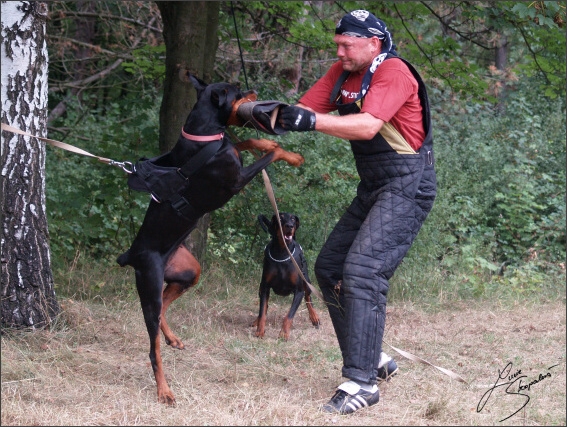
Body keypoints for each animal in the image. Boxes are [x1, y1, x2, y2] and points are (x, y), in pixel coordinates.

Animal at [116, 75, 306, 406]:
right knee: (153, 348)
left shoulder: (230, 149)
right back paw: (165, 390)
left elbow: (249, 143)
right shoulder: (236, 179)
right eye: (238, 91)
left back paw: (173, 338)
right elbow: (270, 155)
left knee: (166, 307)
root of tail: (132, 254)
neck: (203, 137)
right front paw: (288, 154)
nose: (253, 90)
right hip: (149, 285)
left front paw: (273, 145)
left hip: (187, 271)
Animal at [253, 214, 320, 342]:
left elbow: (289, 315)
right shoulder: (265, 287)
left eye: (293, 219)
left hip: (306, 279)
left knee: (308, 297)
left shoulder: (299, 291)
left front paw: (284, 333)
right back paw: (256, 321)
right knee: (264, 306)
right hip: (260, 287)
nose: (290, 226)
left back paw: (315, 317)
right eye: (280, 217)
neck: (282, 252)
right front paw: (260, 331)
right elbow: (262, 310)